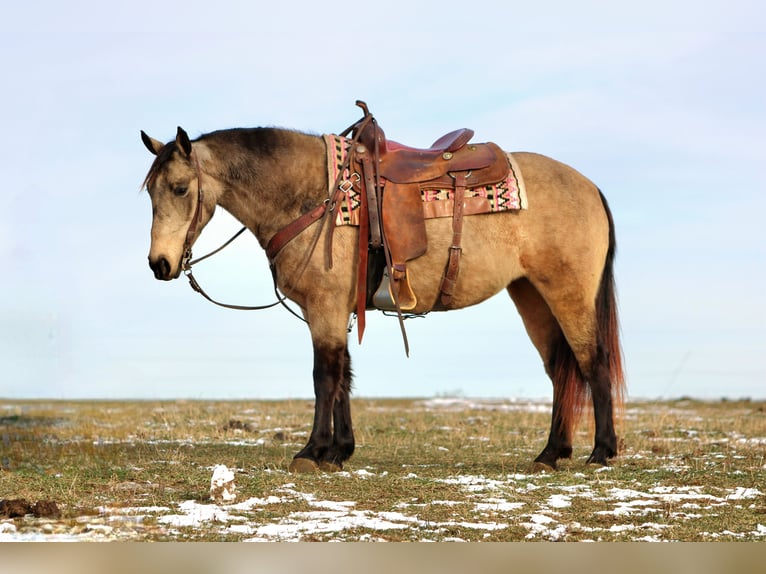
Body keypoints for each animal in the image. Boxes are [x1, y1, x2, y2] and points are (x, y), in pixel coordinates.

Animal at [140, 110, 625, 473]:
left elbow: (325, 376)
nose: (159, 264)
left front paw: (312, 452)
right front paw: (338, 451)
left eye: (180, 188)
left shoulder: (326, 308)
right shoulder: (337, 310)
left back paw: (602, 451)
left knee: (592, 361)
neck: (314, 196)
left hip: (568, 293)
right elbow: (344, 376)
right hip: (531, 296)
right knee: (561, 370)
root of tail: (590, 186)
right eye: (150, 192)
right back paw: (551, 453)